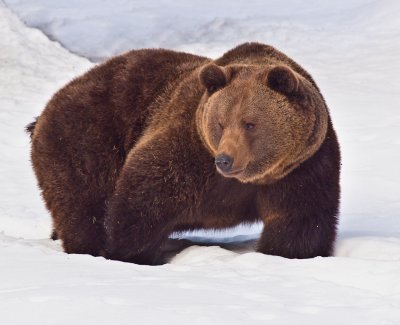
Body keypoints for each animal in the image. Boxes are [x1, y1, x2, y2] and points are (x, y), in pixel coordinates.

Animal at [28, 42, 340, 264]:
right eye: (220, 122)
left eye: (250, 123)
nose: (225, 160)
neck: (249, 180)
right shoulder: (188, 147)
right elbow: (144, 196)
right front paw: (128, 253)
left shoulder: (302, 167)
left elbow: (299, 221)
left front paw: (285, 254)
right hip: (85, 136)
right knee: (83, 202)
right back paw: (85, 247)